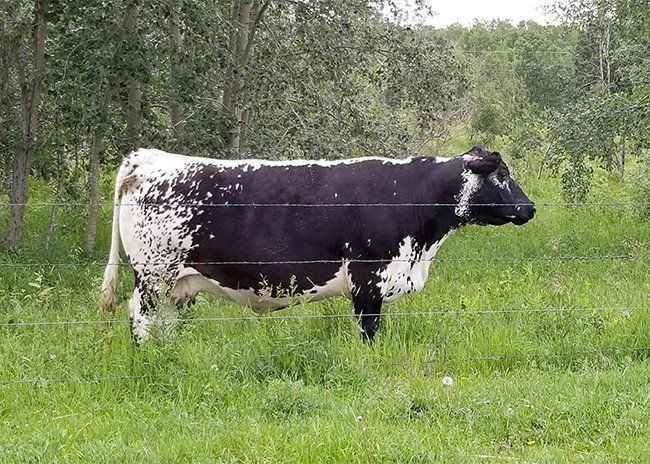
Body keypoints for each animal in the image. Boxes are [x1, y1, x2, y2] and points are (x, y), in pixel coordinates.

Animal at [100, 146, 535, 342]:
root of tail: (149, 157)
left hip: (178, 283)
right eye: (502, 174)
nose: (529, 207)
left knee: (165, 321)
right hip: (153, 274)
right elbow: (369, 331)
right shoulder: (368, 280)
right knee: (140, 315)